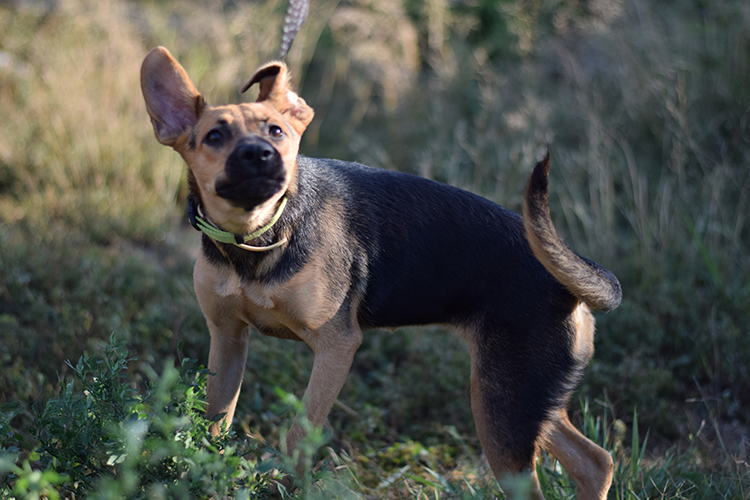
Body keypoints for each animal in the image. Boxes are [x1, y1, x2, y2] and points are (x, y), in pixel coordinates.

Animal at [141, 46, 624, 496]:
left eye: (276, 131)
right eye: (214, 136)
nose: (261, 155)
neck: (257, 236)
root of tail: (567, 284)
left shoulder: (336, 346)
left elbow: (298, 436)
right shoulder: (227, 338)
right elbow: (213, 426)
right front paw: (206, 477)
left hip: (502, 406)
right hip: (525, 397)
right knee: (594, 461)